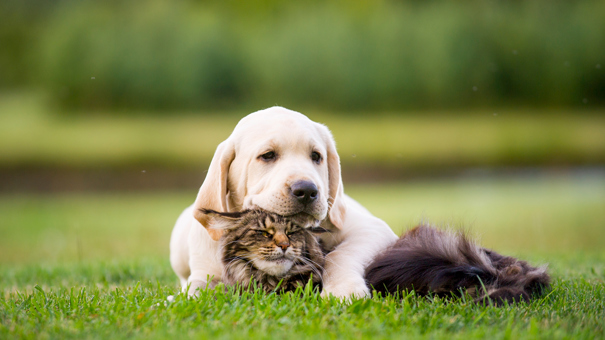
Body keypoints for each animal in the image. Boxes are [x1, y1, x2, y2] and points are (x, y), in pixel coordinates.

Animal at [170, 106, 396, 298]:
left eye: (316, 156)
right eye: (268, 155)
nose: (307, 190)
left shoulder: (373, 229)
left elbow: (340, 254)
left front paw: (343, 290)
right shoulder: (205, 273)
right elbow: (196, 290)